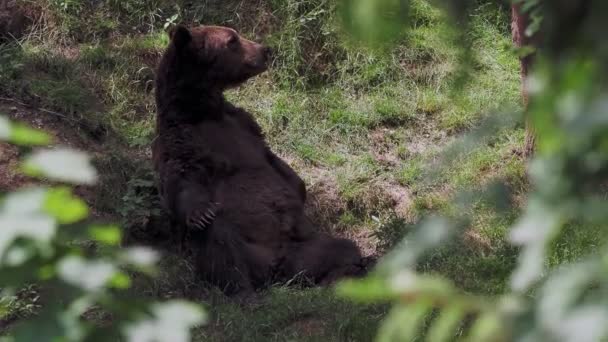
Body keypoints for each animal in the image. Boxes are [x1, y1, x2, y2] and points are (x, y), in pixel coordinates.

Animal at [154, 25, 368, 294]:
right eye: (232, 40)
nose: (266, 49)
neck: (203, 111)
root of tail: (276, 271)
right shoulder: (182, 137)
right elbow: (182, 177)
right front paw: (201, 213)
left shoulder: (245, 126)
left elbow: (273, 161)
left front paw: (299, 188)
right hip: (245, 246)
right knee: (223, 248)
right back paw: (243, 292)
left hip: (305, 247)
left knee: (342, 249)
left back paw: (342, 275)